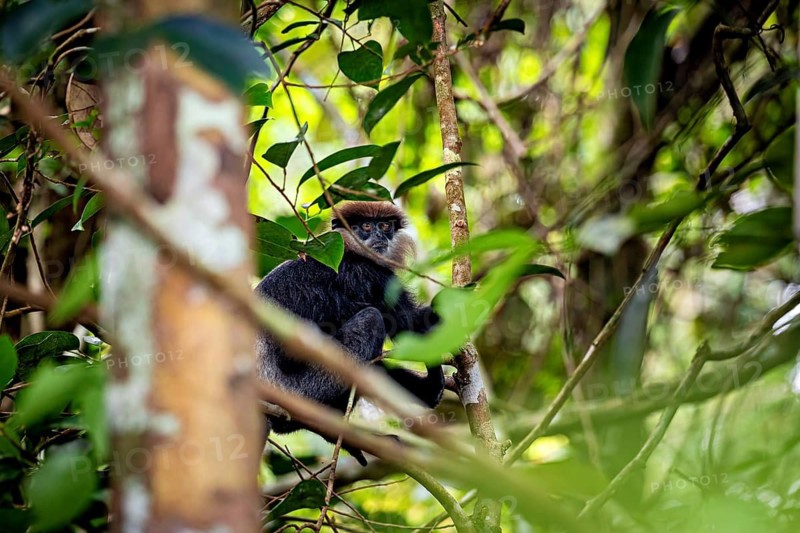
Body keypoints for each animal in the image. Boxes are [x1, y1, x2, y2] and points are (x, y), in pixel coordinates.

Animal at [255, 201, 444, 465]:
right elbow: (410, 324)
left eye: (385, 226)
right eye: (366, 227)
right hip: (306, 388)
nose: (379, 236)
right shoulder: (368, 275)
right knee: (372, 319)